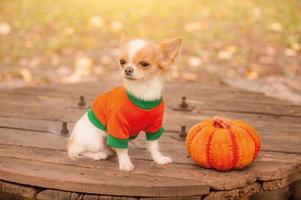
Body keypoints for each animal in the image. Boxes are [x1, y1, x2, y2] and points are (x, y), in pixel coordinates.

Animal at [67, 37, 180, 170]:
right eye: (122, 62)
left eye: (144, 64)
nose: (127, 69)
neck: (143, 90)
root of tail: (72, 141)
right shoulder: (118, 126)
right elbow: (122, 149)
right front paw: (125, 163)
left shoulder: (154, 127)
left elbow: (154, 146)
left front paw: (159, 159)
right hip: (95, 140)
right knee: (79, 151)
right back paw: (98, 154)